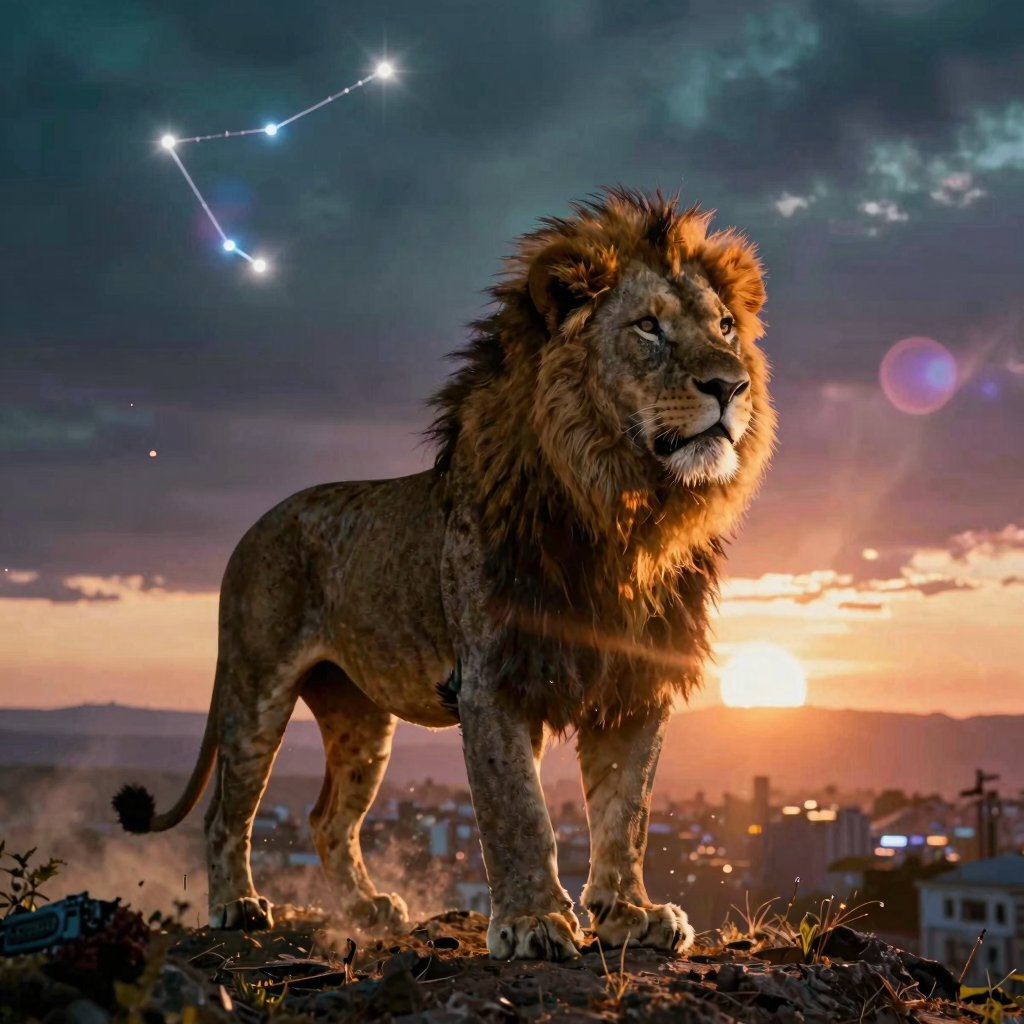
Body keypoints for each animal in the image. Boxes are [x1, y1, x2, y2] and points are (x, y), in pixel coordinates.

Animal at [113, 188, 775, 961]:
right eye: (648, 327)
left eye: (726, 327)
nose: (731, 384)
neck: (623, 513)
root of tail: (255, 525)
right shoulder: (491, 676)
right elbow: (519, 810)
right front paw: (533, 921)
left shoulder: (635, 680)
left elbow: (628, 812)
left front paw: (630, 914)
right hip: (257, 688)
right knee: (227, 809)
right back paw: (239, 906)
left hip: (359, 717)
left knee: (327, 818)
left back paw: (367, 910)